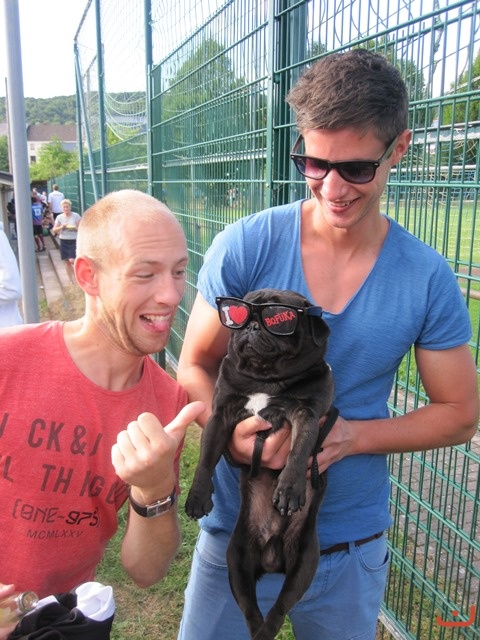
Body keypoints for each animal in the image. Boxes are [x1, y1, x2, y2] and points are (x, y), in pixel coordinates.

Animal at [185, 288, 335, 639]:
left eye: (278, 318)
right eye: (239, 314)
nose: (252, 327)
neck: (265, 379)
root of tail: (271, 555)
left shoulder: (306, 414)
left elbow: (299, 452)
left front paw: (289, 489)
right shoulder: (220, 416)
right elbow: (206, 460)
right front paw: (198, 496)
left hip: (305, 562)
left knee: (279, 609)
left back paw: (267, 629)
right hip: (235, 559)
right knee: (250, 609)